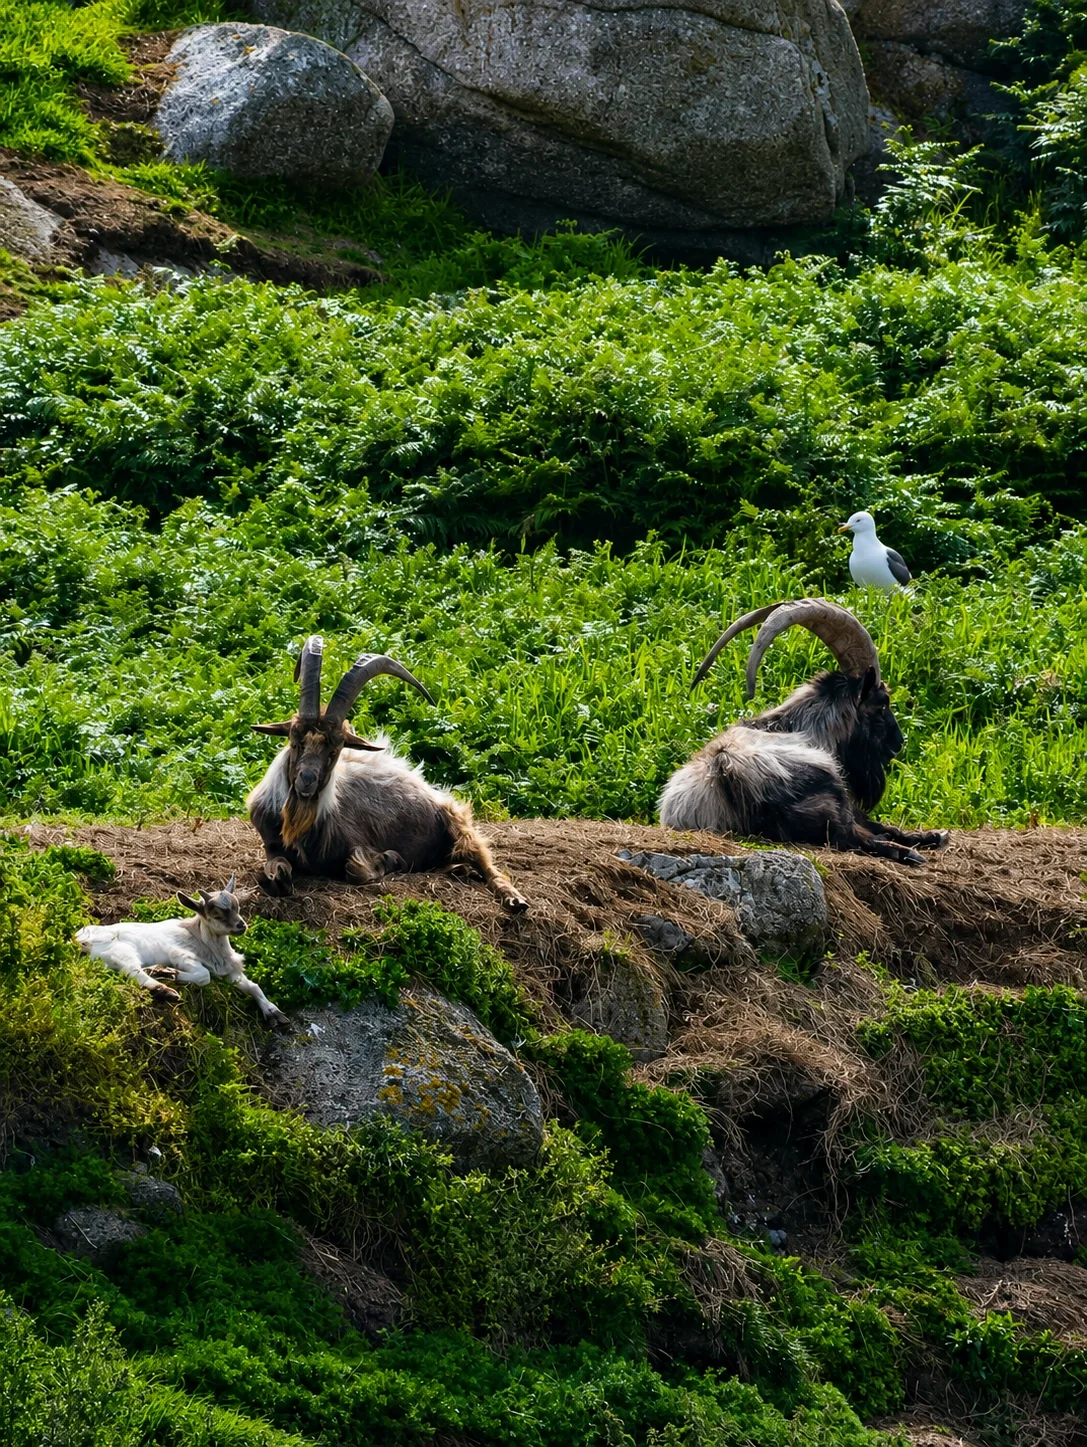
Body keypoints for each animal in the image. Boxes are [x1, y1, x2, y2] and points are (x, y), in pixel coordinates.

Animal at [75, 875, 289, 1025]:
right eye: (216, 914)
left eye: (237, 907)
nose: (241, 925)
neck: (200, 938)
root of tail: (79, 940)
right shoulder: (180, 954)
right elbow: (204, 976)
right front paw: (168, 973)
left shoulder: (229, 970)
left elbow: (253, 986)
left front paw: (274, 1012)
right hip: (120, 950)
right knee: (134, 971)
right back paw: (163, 988)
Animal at [246, 637, 528, 911]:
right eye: (295, 740)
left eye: (335, 749)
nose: (306, 781)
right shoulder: (271, 843)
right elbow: (276, 866)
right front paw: (276, 880)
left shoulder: (358, 842)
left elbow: (357, 870)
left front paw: (390, 859)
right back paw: (460, 869)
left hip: (458, 822)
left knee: (488, 865)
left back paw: (515, 899)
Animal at [658, 599, 948, 865]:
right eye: (882, 704)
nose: (898, 742)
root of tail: (727, 771)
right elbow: (874, 825)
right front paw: (928, 837)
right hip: (827, 784)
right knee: (852, 836)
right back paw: (910, 853)